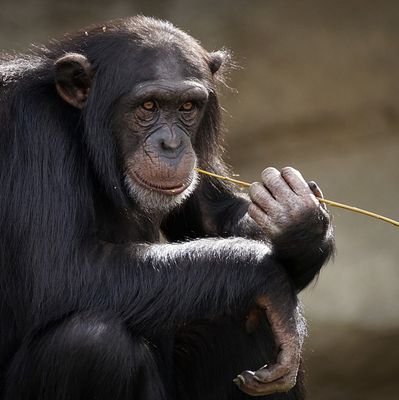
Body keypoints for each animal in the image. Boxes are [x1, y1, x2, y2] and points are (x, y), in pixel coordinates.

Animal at [0, 16, 334, 400]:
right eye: (148, 107)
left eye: (187, 107)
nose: (172, 144)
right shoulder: (33, 128)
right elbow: (60, 270)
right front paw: (270, 281)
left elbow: (211, 219)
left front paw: (299, 222)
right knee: (90, 341)